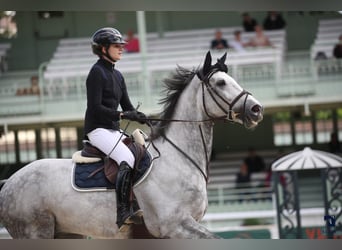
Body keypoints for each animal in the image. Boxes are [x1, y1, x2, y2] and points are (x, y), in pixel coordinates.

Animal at [0, 51, 264, 238]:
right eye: (220, 83)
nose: (256, 109)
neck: (178, 159)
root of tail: (10, 181)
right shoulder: (175, 225)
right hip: (35, 230)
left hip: (66, 233)